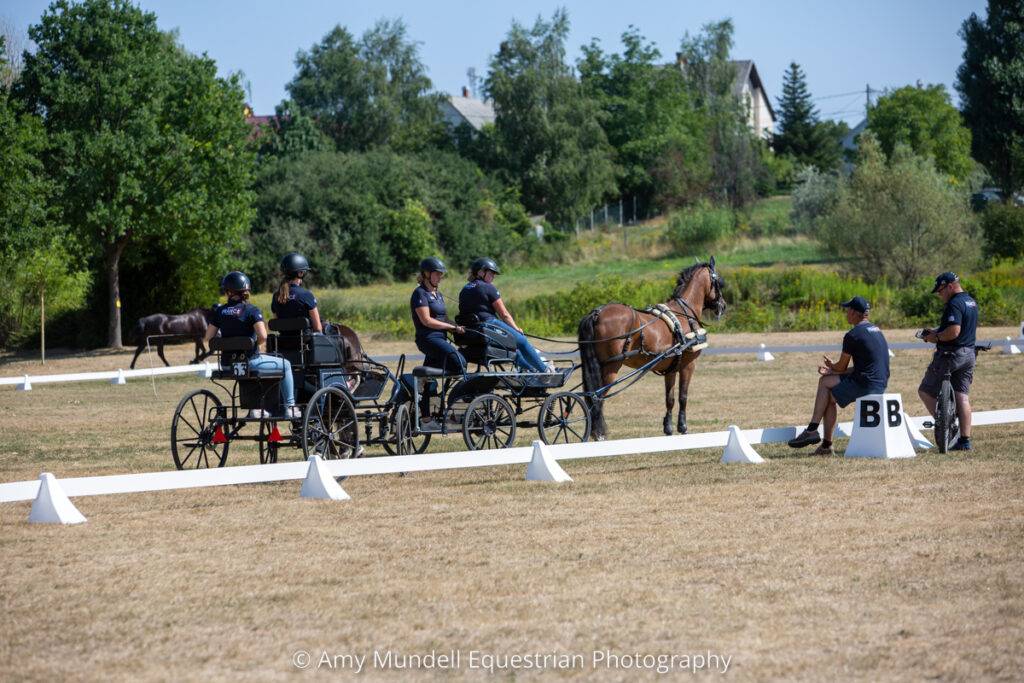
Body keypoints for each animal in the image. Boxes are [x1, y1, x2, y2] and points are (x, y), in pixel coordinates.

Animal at [577, 258, 727, 440]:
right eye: (719, 282)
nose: (723, 306)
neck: (684, 313)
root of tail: (596, 314)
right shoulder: (688, 365)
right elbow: (683, 396)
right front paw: (683, 427)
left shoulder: (671, 368)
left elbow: (670, 399)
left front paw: (668, 427)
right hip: (611, 367)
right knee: (597, 397)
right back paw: (598, 433)